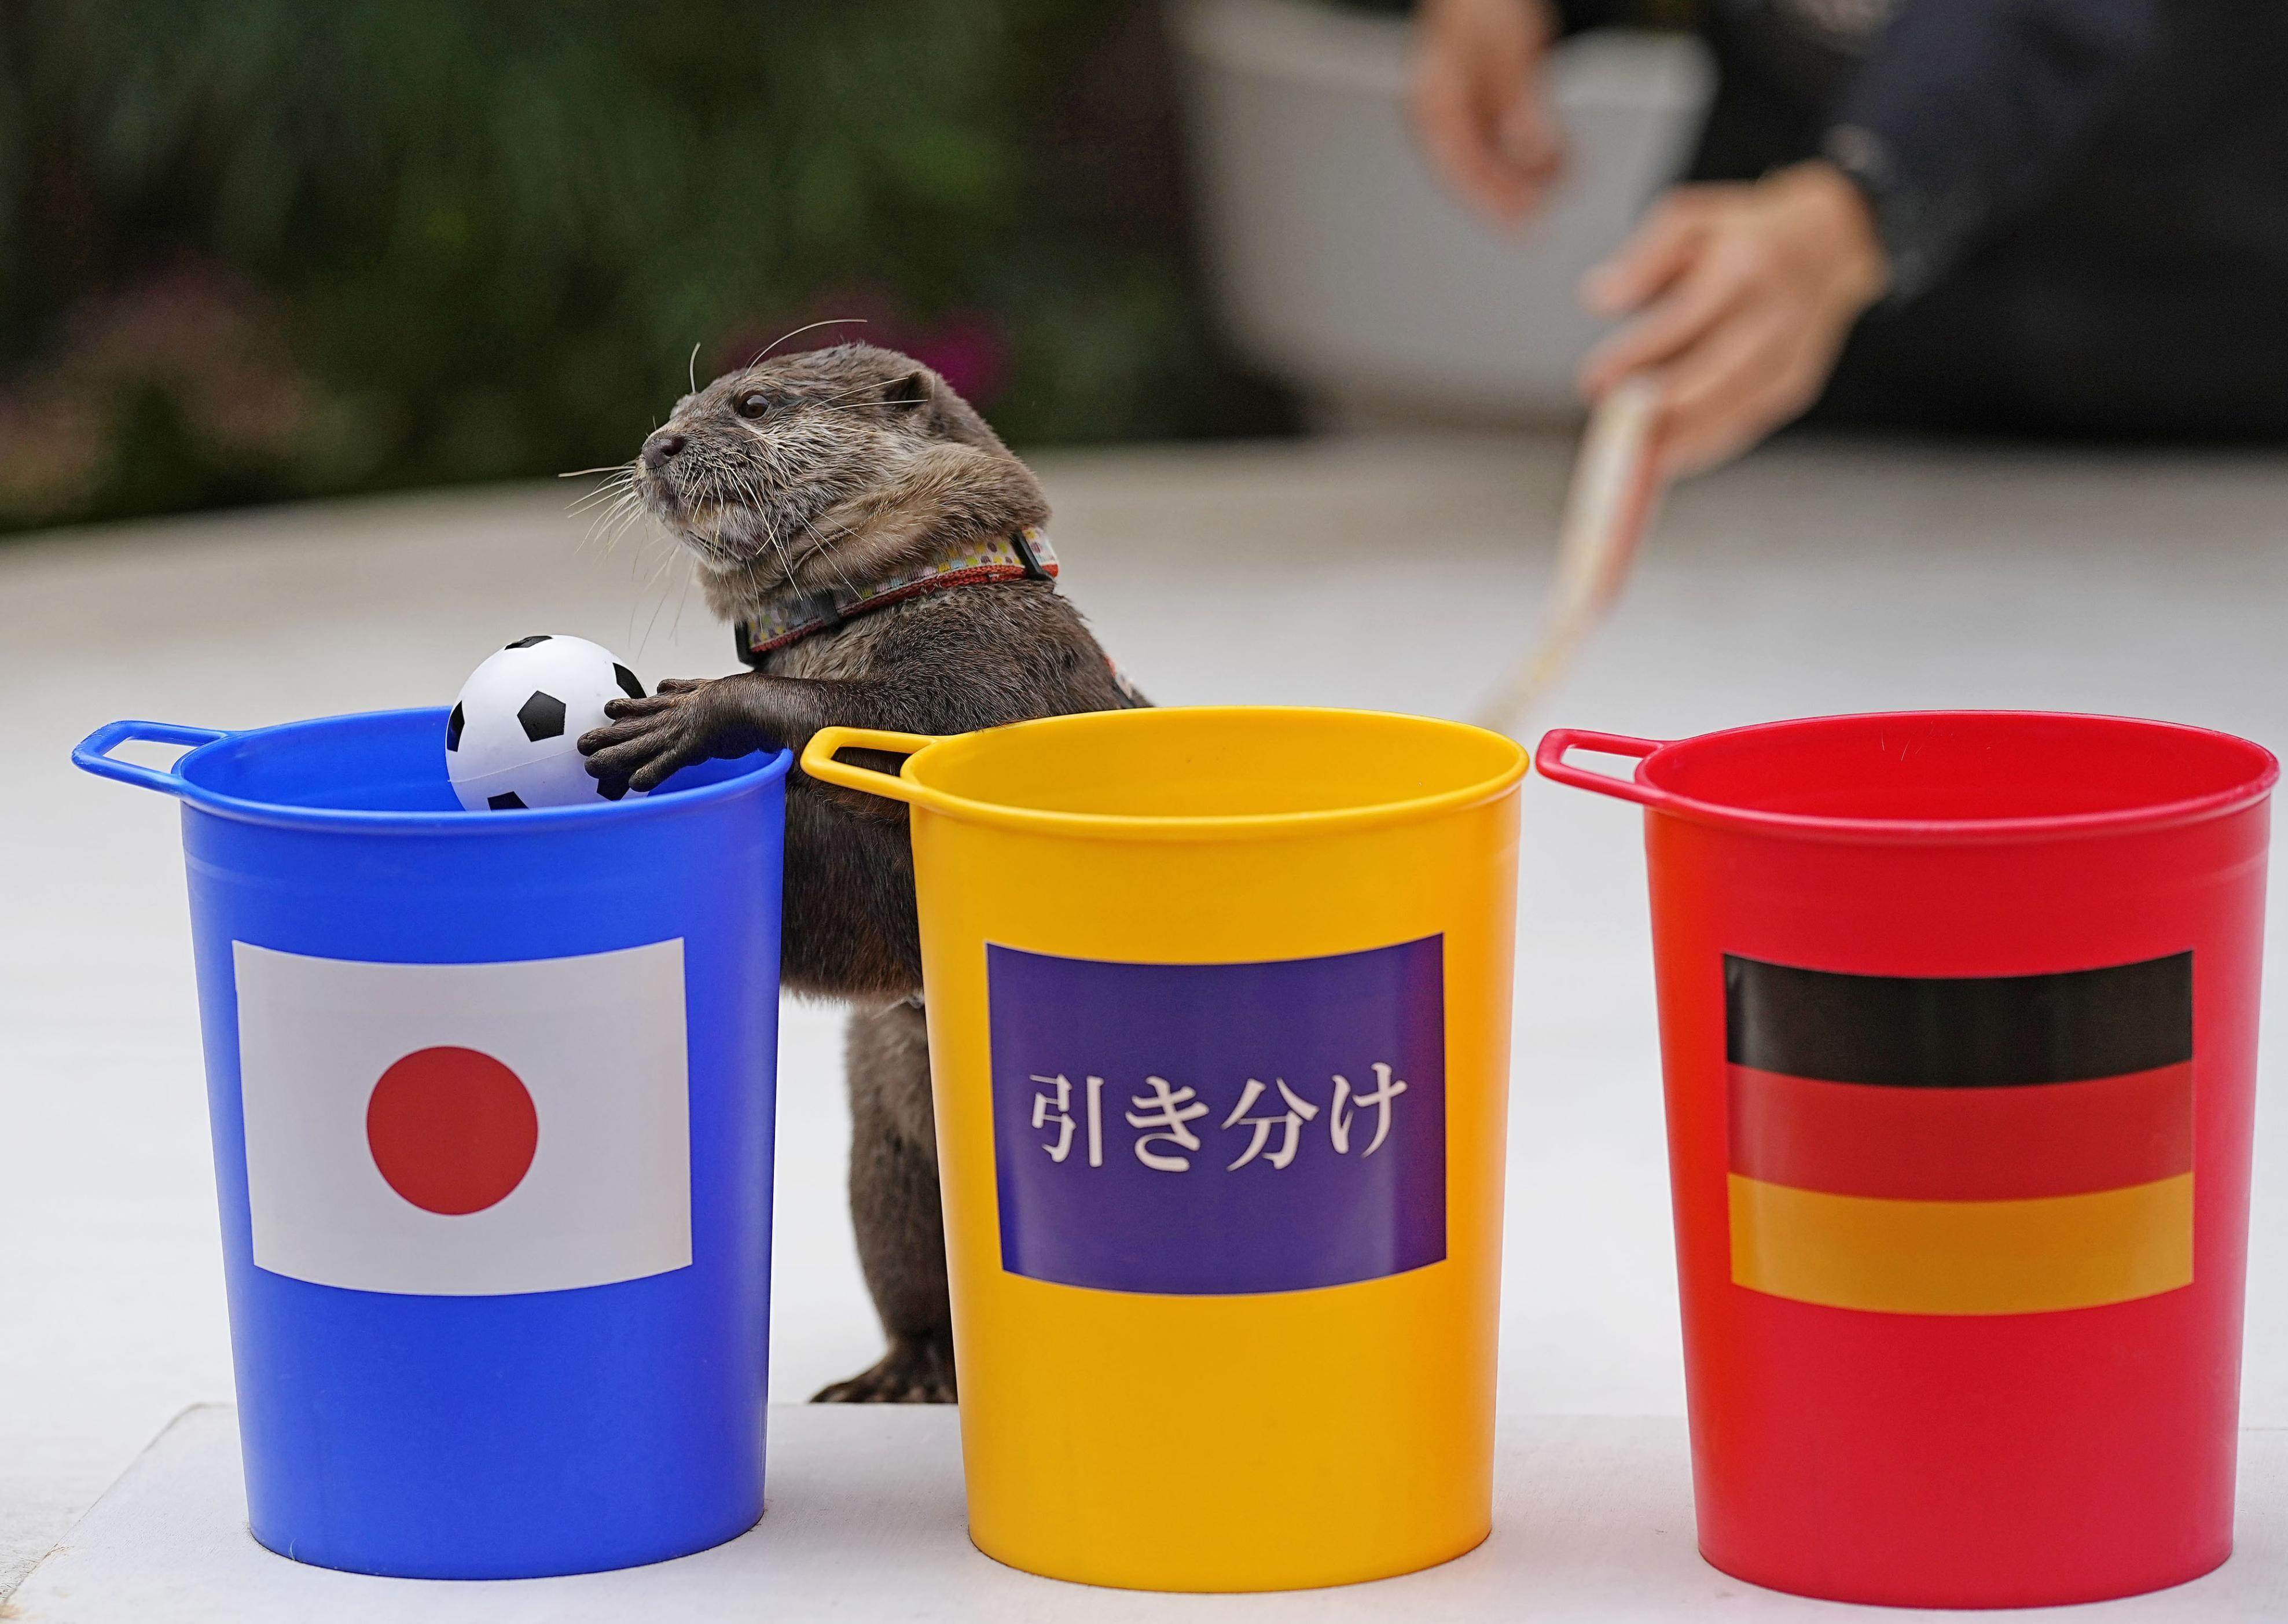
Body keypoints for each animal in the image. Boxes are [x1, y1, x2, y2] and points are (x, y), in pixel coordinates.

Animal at [581, 347, 1134, 1409]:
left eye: (754, 403)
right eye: (676, 407)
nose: (660, 444)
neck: (921, 590)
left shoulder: (996, 679)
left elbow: (895, 730)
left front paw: (694, 712)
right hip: (883, 1164)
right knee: (917, 1290)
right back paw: (898, 1373)